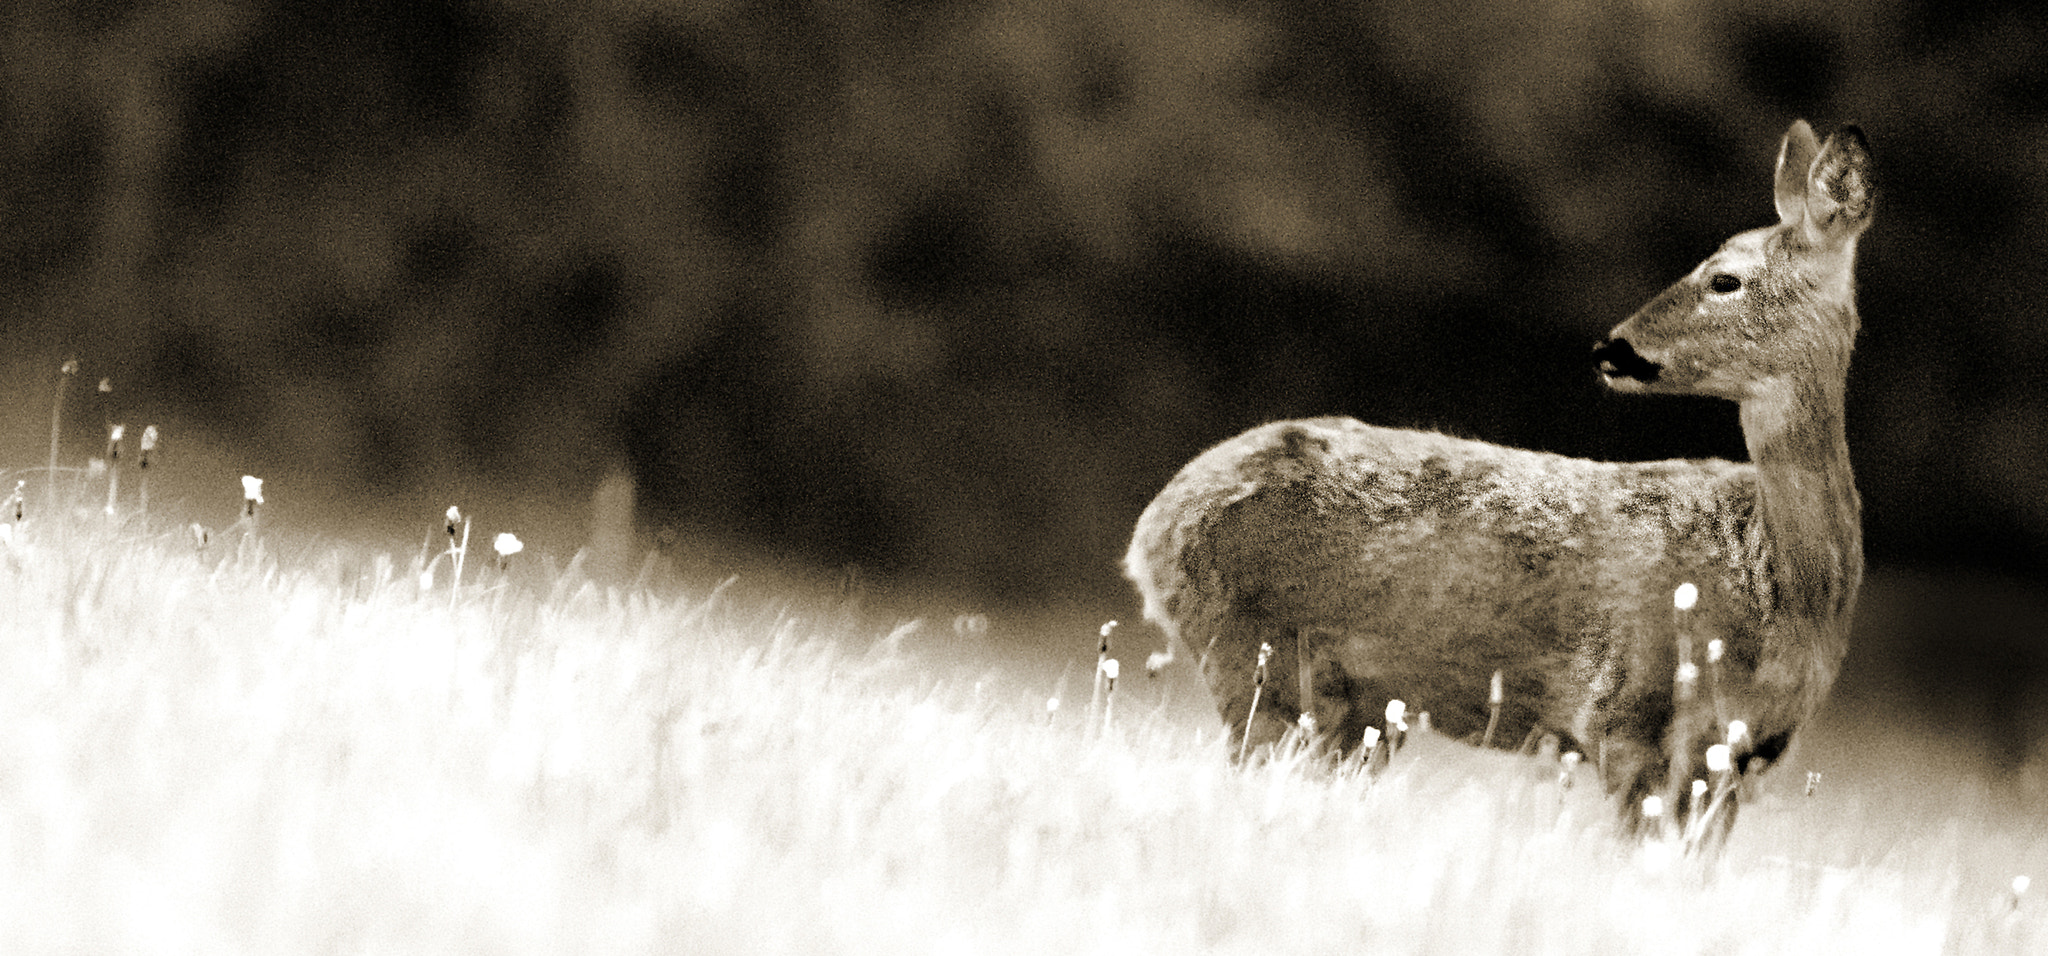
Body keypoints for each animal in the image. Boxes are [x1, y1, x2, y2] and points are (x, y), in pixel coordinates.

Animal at [1130, 117, 1875, 839]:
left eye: (1725, 279)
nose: (1611, 349)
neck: (1784, 590)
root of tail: (1149, 531)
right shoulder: (1624, 713)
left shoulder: (1742, 755)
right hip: (1259, 664)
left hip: (1352, 714)